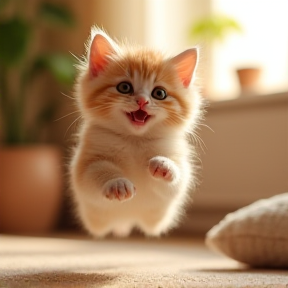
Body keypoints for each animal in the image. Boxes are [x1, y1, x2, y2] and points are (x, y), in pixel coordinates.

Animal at [69, 27, 202, 237]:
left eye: (159, 93)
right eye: (124, 87)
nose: (142, 101)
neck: (135, 139)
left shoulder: (178, 169)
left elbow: (177, 182)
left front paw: (164, 165)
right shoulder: (84, 165)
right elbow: (95, 172)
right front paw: (117, 183)